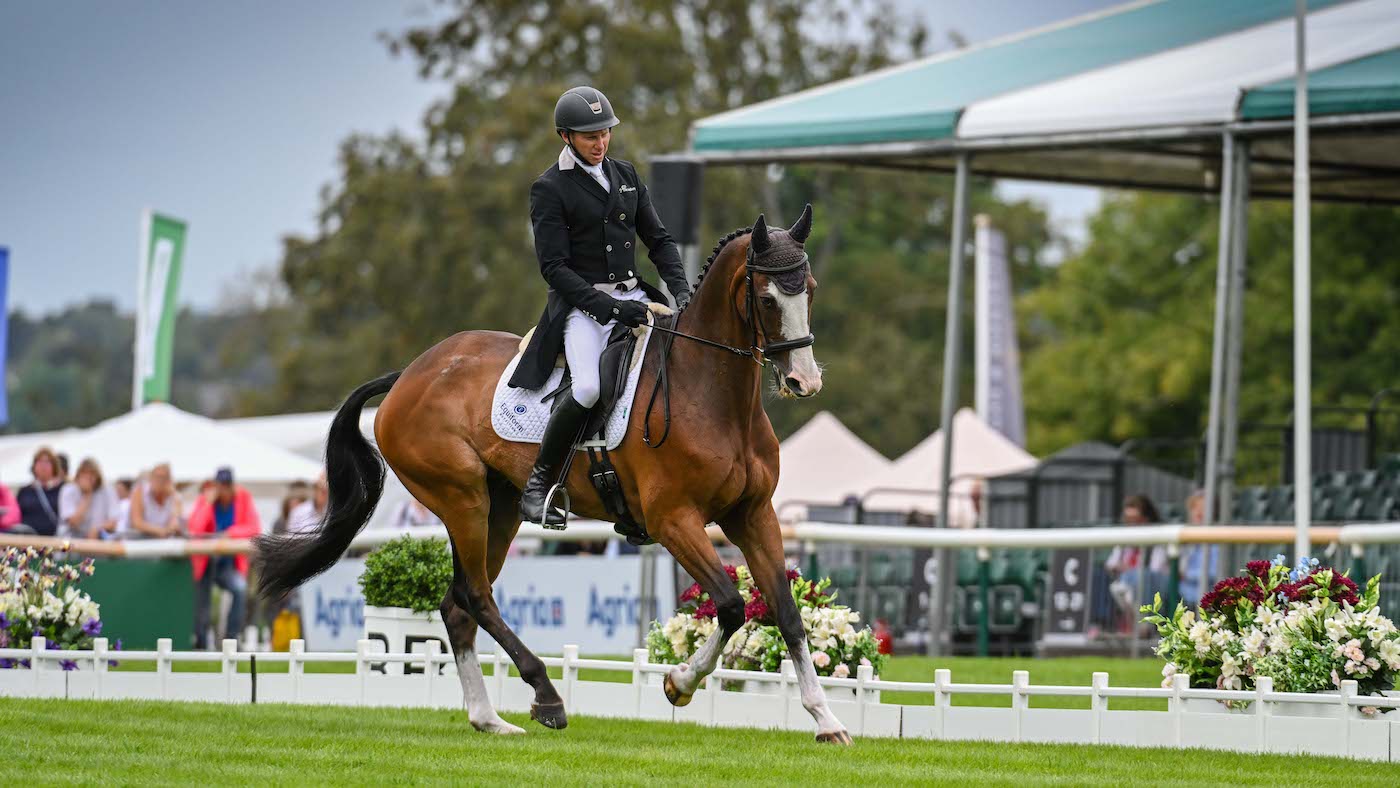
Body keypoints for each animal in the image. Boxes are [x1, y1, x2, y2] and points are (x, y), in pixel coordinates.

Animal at [254, 204, 853, 744]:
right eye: (767, 298)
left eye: (810, 289)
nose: (804, 381)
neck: (710, 394)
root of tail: (410, 374)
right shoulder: (673, 521)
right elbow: (730, 605)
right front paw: (678, 684)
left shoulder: (753, 514)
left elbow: (785, 612)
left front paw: (826, 719)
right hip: (461, 499)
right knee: (475, 596)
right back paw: (545, 696)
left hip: (499, 507)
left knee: (457, 606)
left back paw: (489, 719)